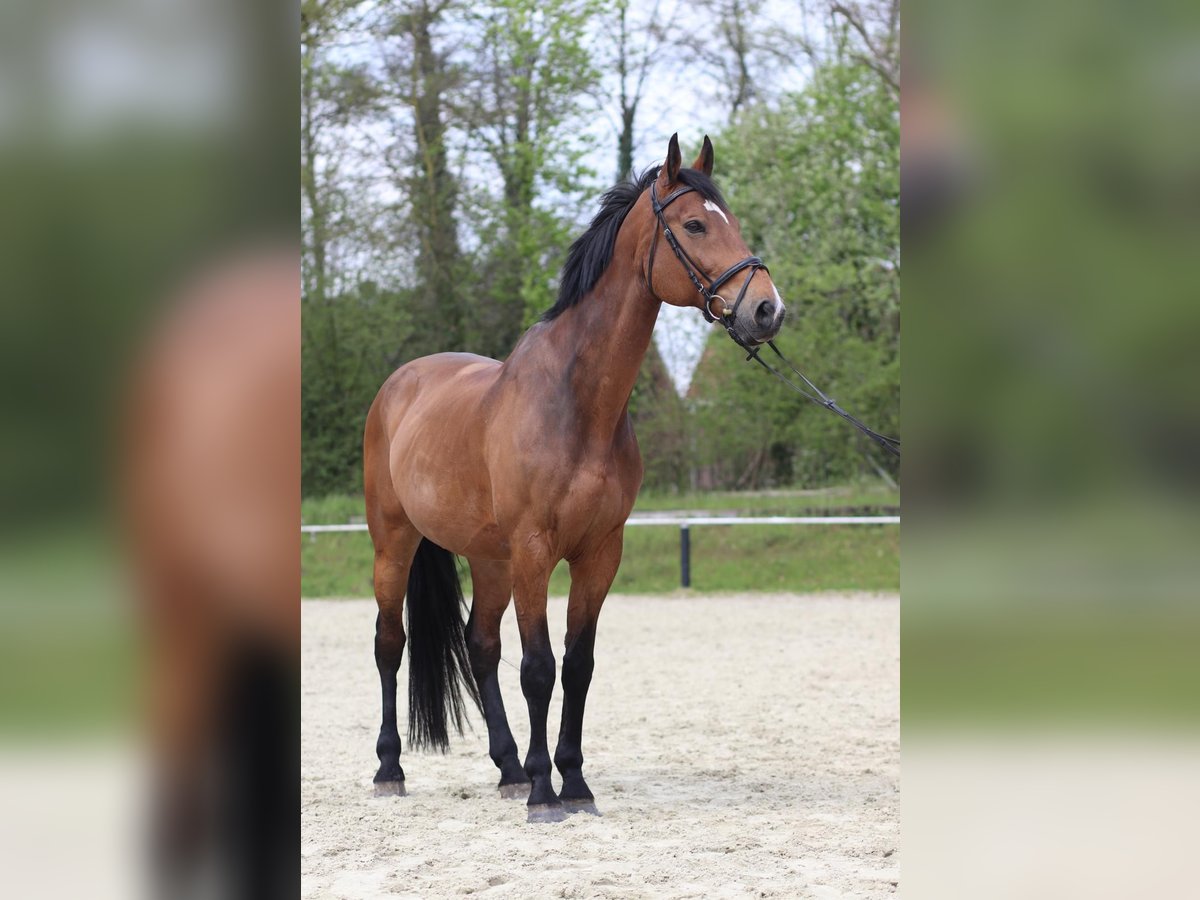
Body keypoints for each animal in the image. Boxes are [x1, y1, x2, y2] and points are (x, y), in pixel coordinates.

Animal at [360, 135, 782, 825]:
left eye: (734, 222)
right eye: (695, 225)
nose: (768, 309)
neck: (578, 404)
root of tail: (400, 383)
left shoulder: (599, 552)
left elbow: (577, 666)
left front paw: (574, 784)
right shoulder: (535, 550)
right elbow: (539, 667)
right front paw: (544, 795)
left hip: (490, 559)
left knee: (480, 646)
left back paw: (507, 768)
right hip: (395, 543)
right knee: (389, 644)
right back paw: (391, 769)